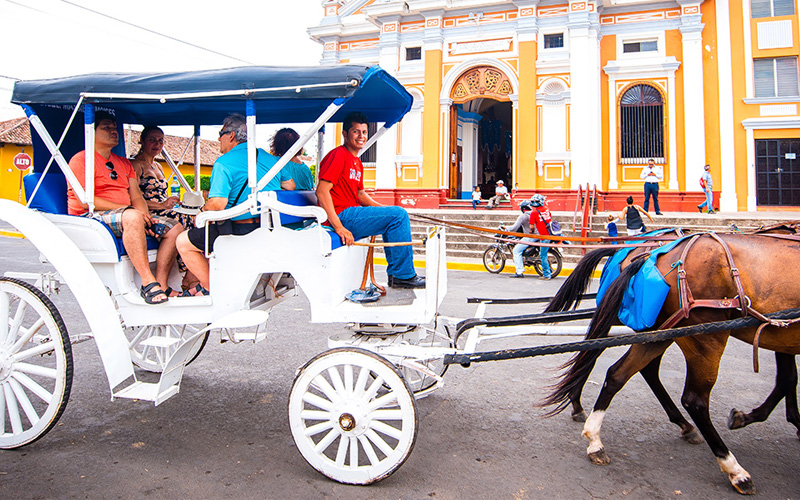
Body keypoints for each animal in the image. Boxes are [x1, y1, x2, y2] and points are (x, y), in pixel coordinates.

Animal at [544, 232, 800, 494]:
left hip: (658, 329)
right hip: (704, 337)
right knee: (693, 399)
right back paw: (735, 470)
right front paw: (757, 418)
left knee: (616, 369)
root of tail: (646, 255)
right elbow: (787, 379)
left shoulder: (783, 338)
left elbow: (788, 379)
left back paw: (595, 434)